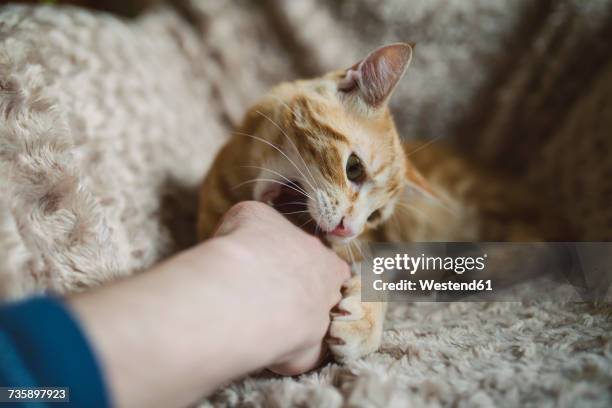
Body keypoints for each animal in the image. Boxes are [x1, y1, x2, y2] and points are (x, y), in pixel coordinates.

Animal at [198, 42, 552, 360]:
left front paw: (363, 322)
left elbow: (379, 276)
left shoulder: (385, 250)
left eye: (375, 217)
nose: (347, 229)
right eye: (353, 168)